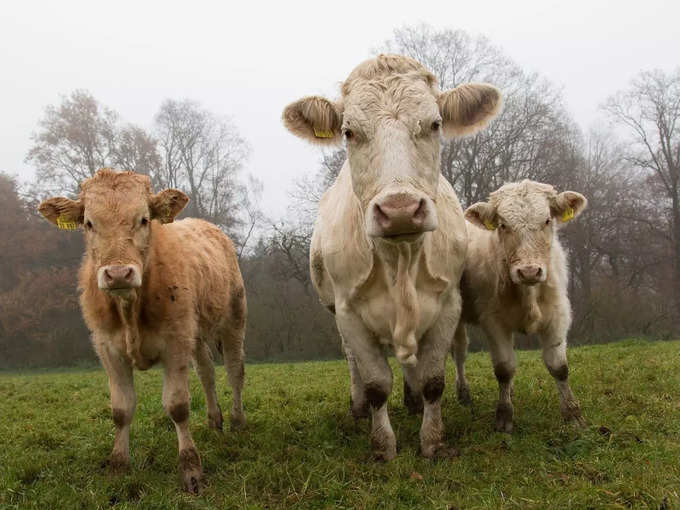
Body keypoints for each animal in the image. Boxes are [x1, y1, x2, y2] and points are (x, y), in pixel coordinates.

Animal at [38, 170, 246, 494]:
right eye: (89, 223)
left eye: (144, 219)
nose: (118, 274)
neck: (130, 311)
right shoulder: (108, 349)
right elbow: (121, 409)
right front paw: (118, 466)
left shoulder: (175, 343)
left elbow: (178, 406)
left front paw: (191, 469)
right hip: (196, 333)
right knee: (207, 373)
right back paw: (215, 421)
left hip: (234, 316)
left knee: (235, 370)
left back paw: (236, 422)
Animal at [452, 181, 584, 432]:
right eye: (503, 225)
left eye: (547, 220)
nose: (529, 271)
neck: (528, 293)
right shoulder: (493, 320)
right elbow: (504, 369)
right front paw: (504, 417)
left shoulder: (558, 314)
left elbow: (559, 367)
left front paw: (573, 415)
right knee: (459, 353)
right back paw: (463, 393)